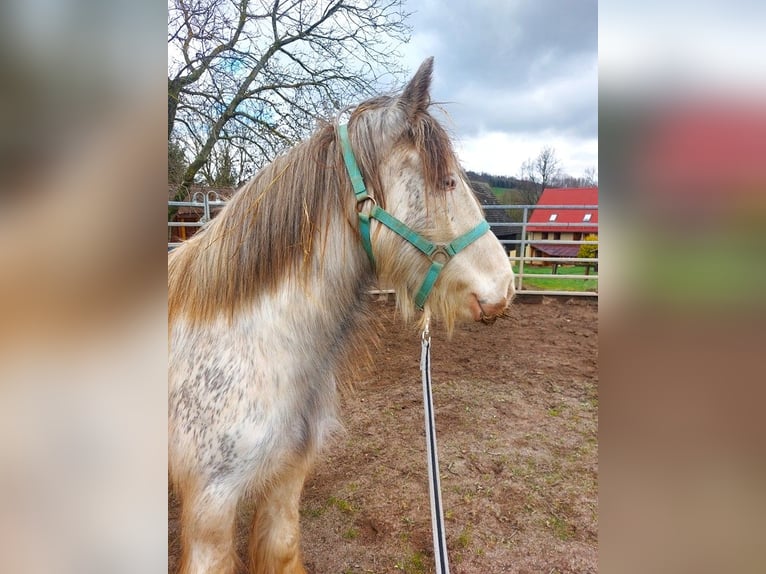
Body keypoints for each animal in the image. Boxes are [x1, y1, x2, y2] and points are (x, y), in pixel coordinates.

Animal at [168, 57, 516, 574]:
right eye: (447, 181)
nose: (504, 287)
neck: (250, 342)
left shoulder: (287, 478)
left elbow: (282, 549)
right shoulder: (211, 505)